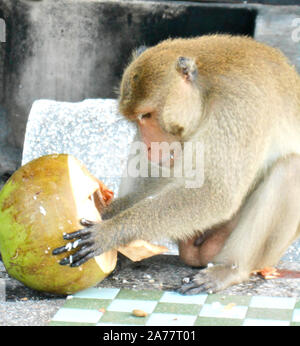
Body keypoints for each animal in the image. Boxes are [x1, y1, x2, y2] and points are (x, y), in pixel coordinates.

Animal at [52, 35, 300, 294]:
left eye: (146, 115)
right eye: (136, 120)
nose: (149, 145)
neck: (206, 92)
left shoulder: (238, 106)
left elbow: (215, 193)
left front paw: (109, 231)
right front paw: (106, 212)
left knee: (291, 169)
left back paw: (231, 269)